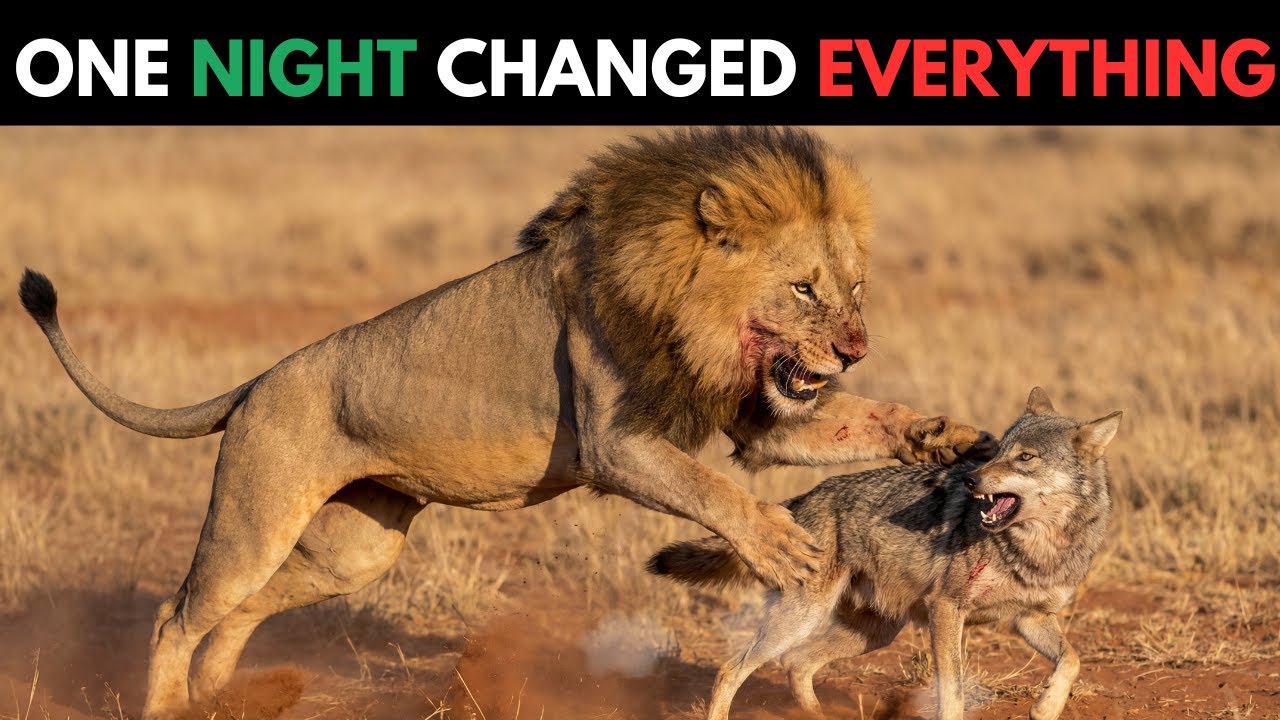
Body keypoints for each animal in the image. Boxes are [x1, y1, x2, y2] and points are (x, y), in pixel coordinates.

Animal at [19, 126, 994, 719]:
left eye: (855, 288)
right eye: (803, 290)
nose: (856, 347)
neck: (689, 308)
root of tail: (257, 379)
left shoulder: (758, 416)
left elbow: (854, 422)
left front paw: (949, 438)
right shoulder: (616, 441)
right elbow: (710, 488)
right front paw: (783, 546)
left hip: (355, 547)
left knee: (242, 608)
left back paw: (224, 693)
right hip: (256, 515)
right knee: (175, 614)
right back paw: (169, 704)